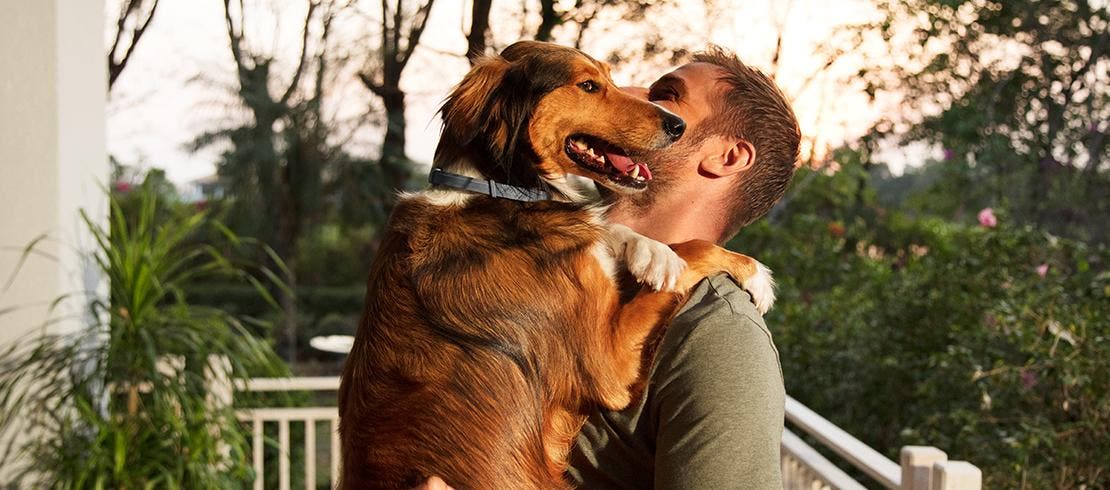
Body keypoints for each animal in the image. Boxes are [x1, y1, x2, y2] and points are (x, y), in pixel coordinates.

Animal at [337, 40, 772, 486]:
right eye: (588, 85)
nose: (677, 125)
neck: (494, 190)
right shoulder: (608, 364)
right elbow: (694, 247)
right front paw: (752, 273)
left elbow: (607, 231)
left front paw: (650, 250)